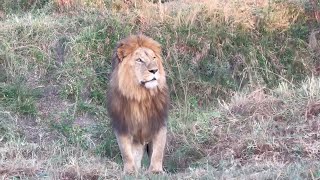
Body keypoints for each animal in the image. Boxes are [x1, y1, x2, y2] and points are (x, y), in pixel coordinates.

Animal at [107, 33, 170, 173]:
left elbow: (158, 151)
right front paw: (130, 171)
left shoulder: (159, 123)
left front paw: (156, 171)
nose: (154, 70)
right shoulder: (123, 127)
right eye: (139, 60)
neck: (141, 95)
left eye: (153, 58)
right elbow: (126, 152)